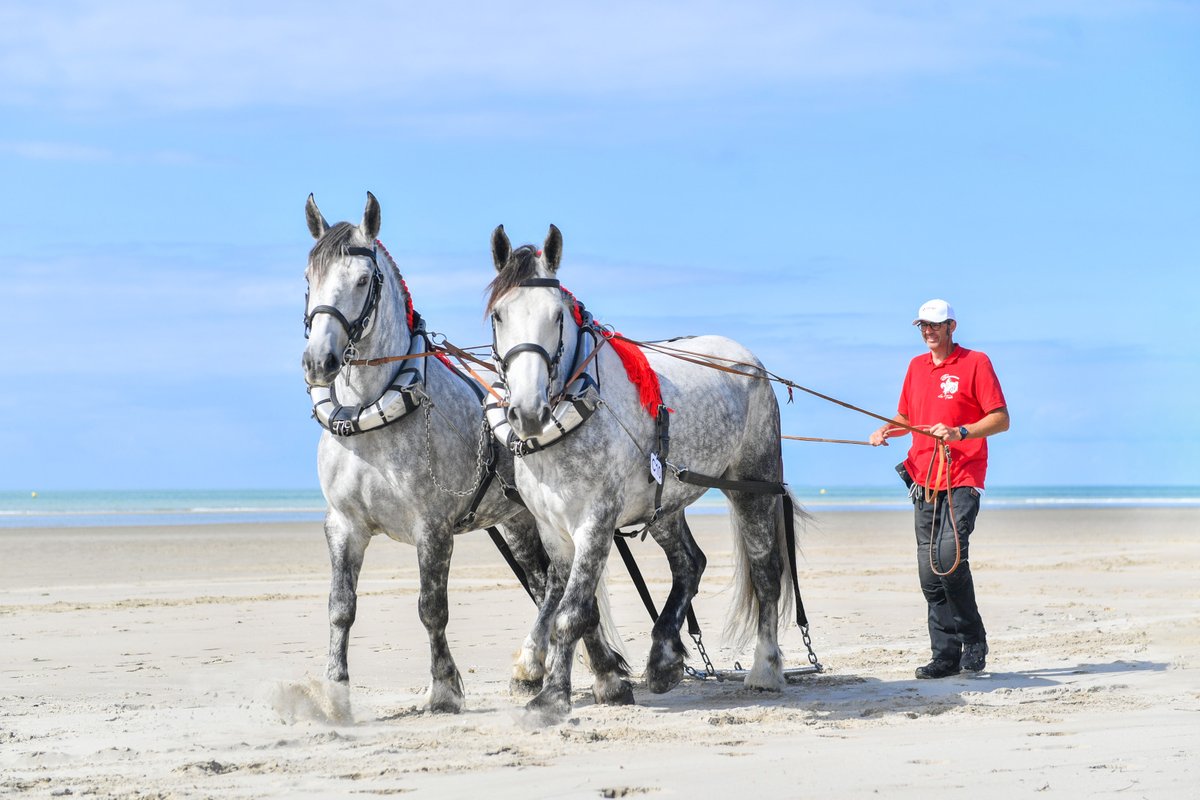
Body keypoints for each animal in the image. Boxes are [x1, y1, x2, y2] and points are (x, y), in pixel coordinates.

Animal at [301, 193, 624, 714]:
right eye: (309, 278)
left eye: (364, 279)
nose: (318, 362)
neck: (369, 413)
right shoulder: (344, 526)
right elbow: (340, 608)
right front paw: (335, 692)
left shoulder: (431, 528)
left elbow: (431, 608)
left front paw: (444, 689)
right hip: (518, 520)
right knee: (550, 586)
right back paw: (553, 669)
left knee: (562, 587)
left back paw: (582, 671)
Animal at [487, 224, 801, 721]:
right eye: (499, 315)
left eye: (557, 315)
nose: (528, 411)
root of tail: (748, 359)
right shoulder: (553, 529)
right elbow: (577, 606)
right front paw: (606, 684)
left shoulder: (595, 522)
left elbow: (571, 612)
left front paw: (551, 698)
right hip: (665, 504)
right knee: (690, 563)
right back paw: (664, 658)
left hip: (752, 486)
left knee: (766, 573)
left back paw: (765, 669)